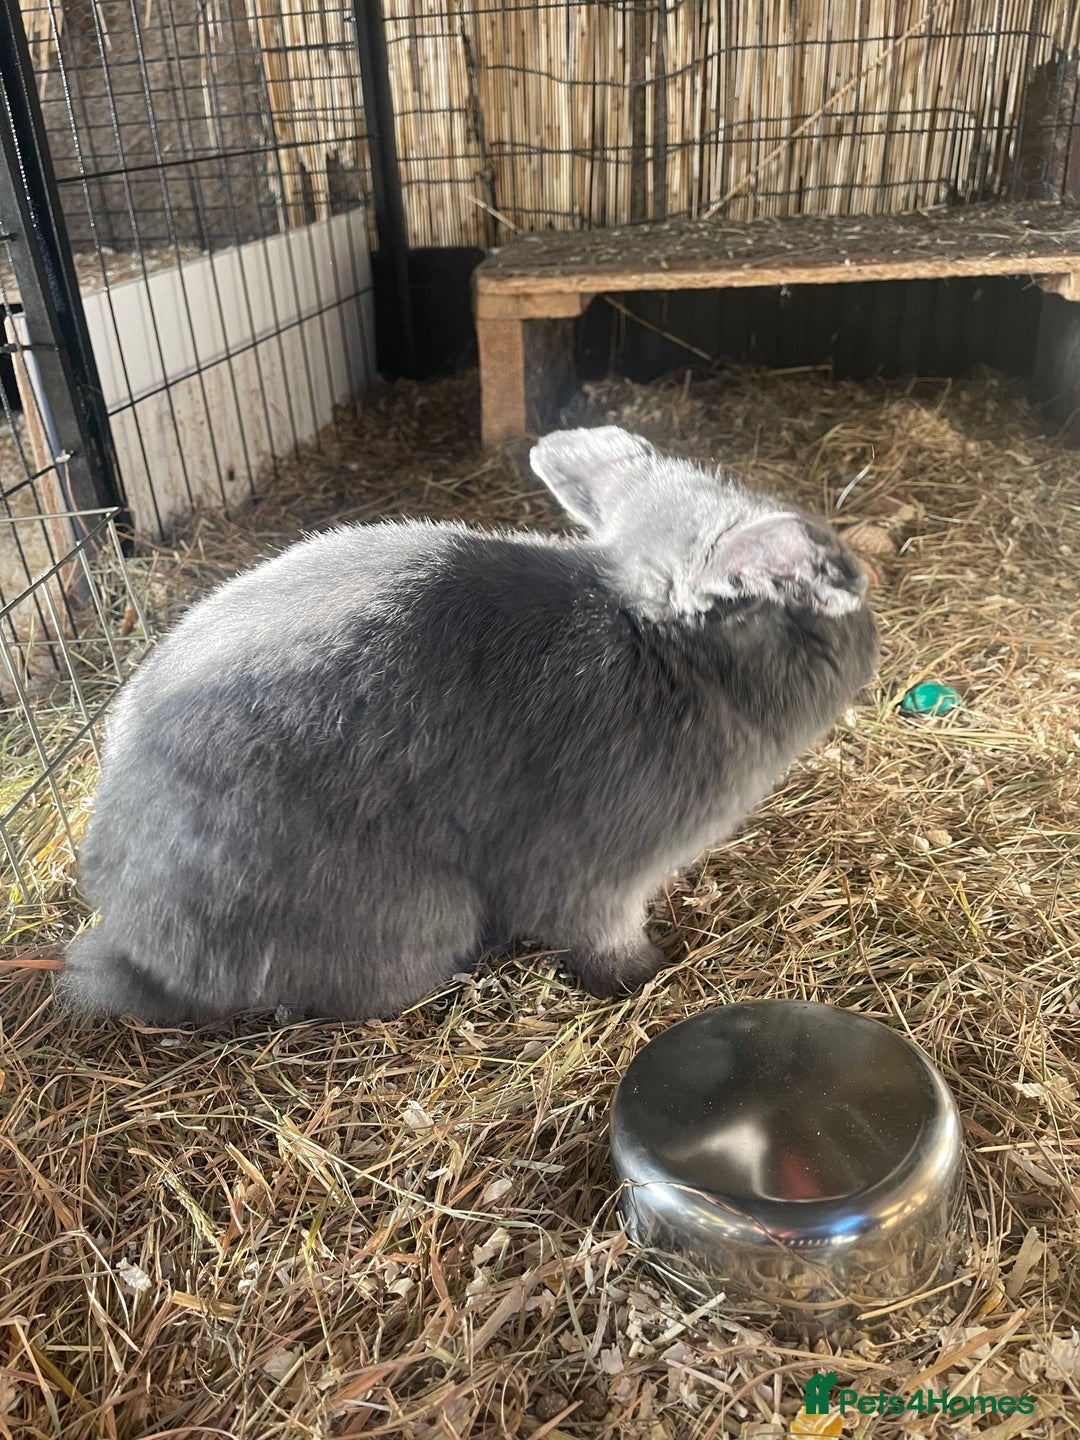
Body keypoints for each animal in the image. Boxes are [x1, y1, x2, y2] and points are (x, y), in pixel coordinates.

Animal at [60, 425, 878, 1025]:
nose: (871, 625)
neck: (665, 649)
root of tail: (142, 957)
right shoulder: (600, 880)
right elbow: (601, 939)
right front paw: (649, 972)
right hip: (425, 913)